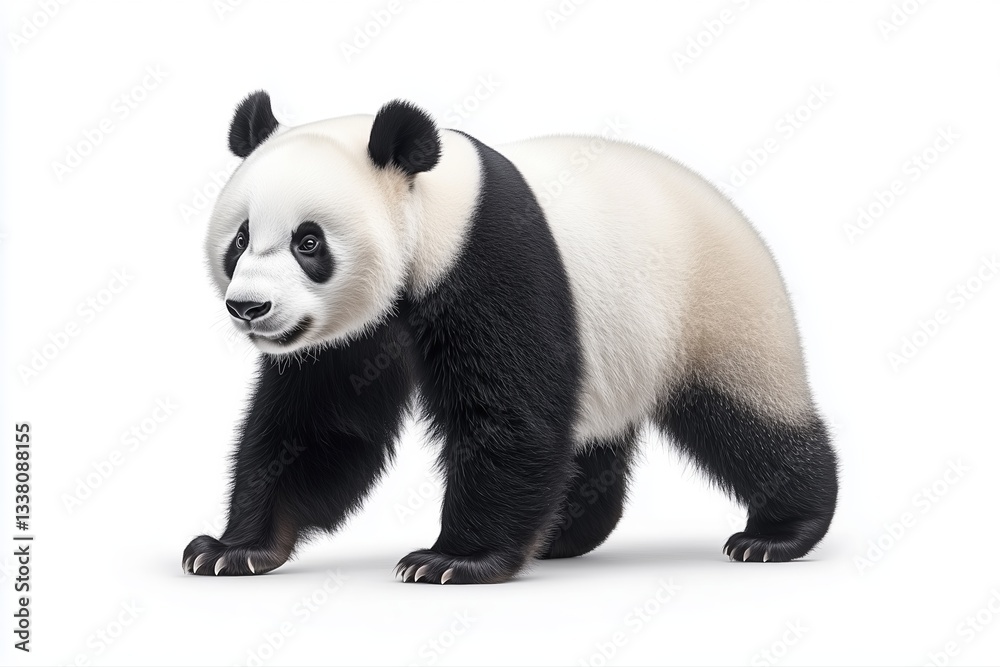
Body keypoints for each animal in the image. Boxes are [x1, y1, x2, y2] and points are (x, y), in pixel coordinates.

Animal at [182, 91, 838, 584]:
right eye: (240, 238)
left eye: (309, 241)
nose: (250, 307)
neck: (434, 213)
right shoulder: (349, 339)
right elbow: (317, 426)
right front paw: (232, 548)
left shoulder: (489, 259)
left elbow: (507, 413)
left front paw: (452, 560)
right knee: (587, 435)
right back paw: (561, 534)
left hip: (716, 307)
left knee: (748, 418)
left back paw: (777, 534)